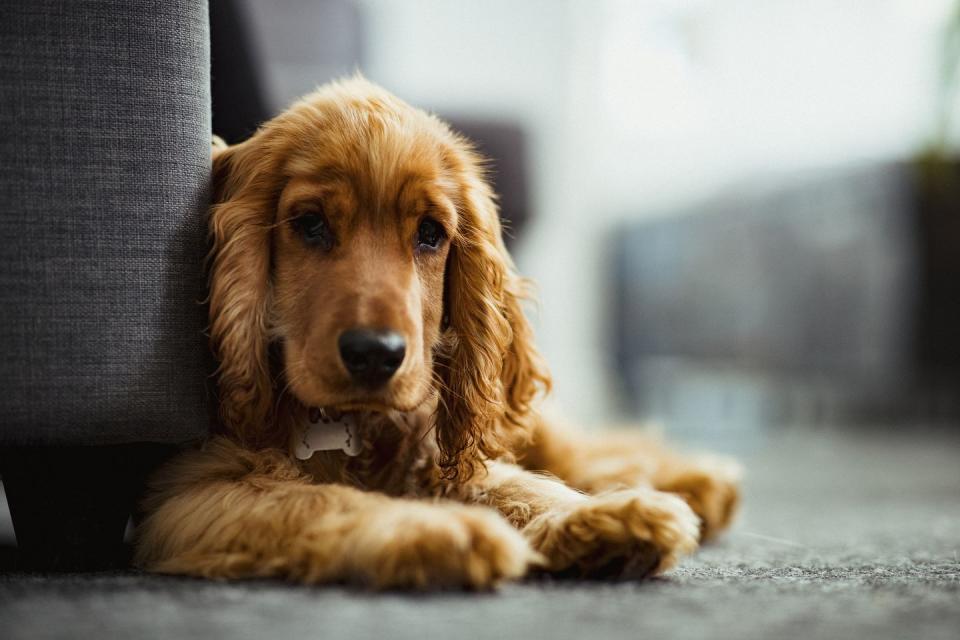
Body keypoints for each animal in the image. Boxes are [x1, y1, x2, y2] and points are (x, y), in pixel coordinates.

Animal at [131, 77, 740, 588]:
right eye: (310, 225)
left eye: (429, 233)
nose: (376, 355)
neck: (352, 427)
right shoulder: (188, 491)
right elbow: (319, 501)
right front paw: (437, 529)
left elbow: (512, 482)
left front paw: (601, 516)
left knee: (580, 449)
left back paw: (689, 483)